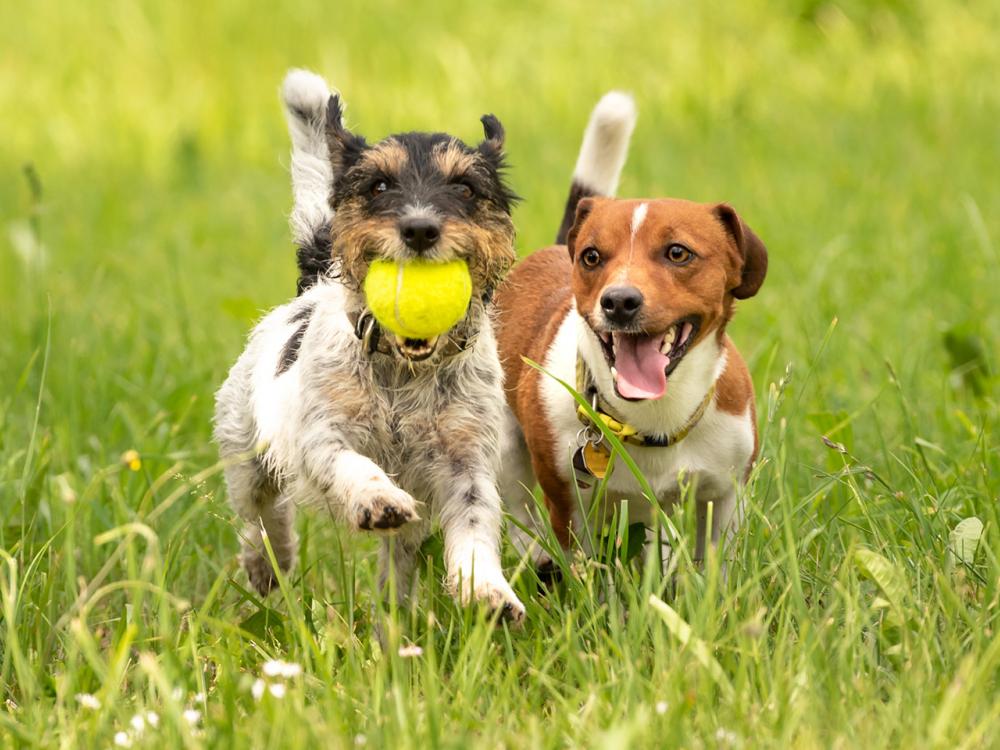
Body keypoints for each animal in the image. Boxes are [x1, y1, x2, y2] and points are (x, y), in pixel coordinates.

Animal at [215, 70, 528, 624]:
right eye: (378, 184)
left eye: (465, 187)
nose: (420, 229)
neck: (403, 370)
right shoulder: (323, 436)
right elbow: (353, 465)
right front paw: (377, 499)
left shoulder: (466, 460)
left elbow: (475, 522)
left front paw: (487, 590)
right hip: (244, 449)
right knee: (260, 515)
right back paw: (268, 563)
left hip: (408, 537)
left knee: (397, 565)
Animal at [496, 95, 768, 576]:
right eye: (591, 256)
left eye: (678, 253)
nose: (619, 301)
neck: (654, 421)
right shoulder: (570, 502)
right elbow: (586, 571)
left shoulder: (725, 494)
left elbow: (715, 565)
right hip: (506, 446)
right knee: (519, 512)